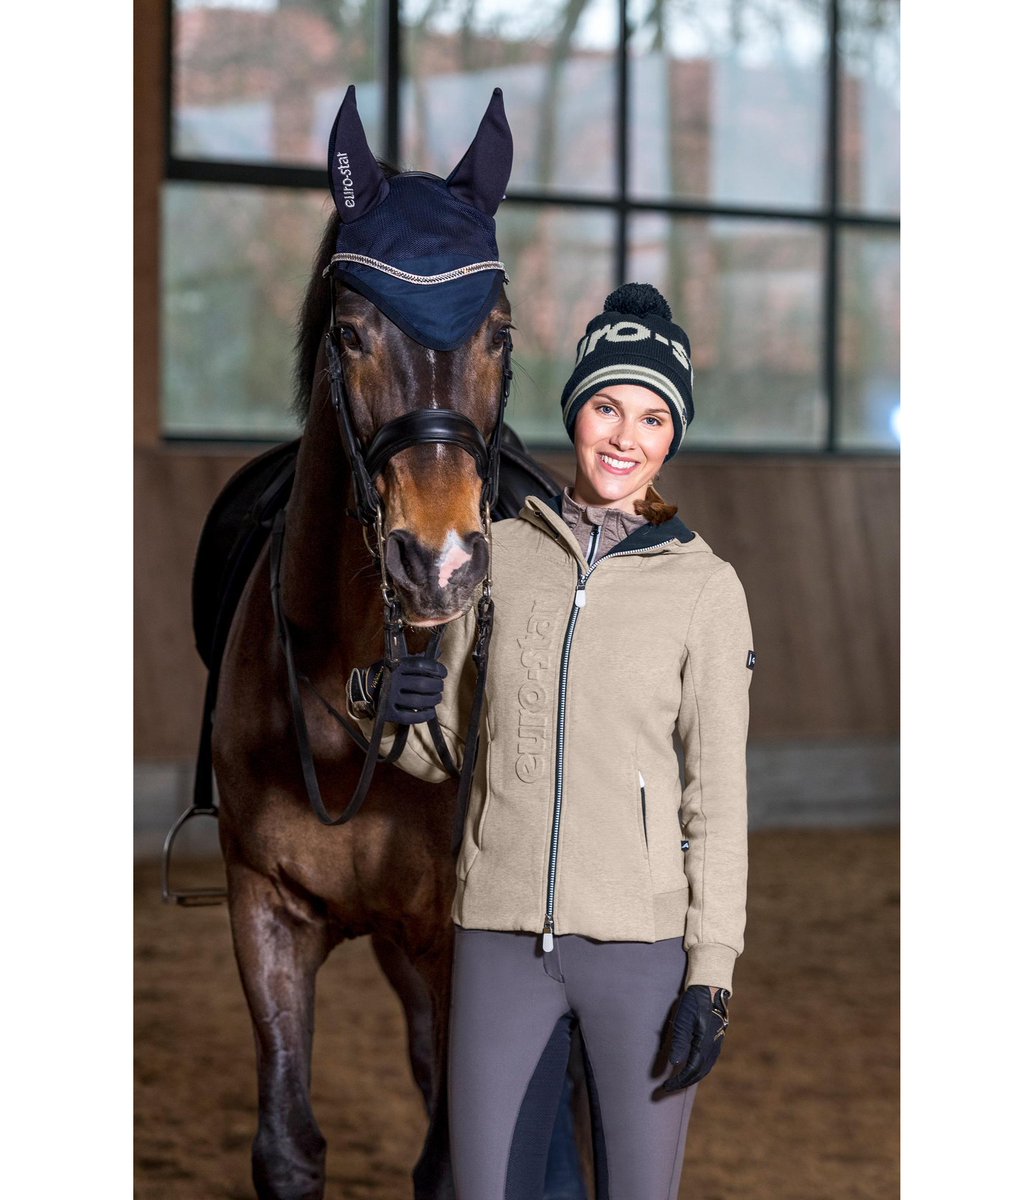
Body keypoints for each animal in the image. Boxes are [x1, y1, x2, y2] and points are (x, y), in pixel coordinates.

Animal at [200, 87, 579, 1200]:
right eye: (353, 330)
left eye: (498, 332)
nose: (439, 557)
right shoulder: (268, 908)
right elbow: (288, 1144)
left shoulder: (464, 942)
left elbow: (459, 1160)